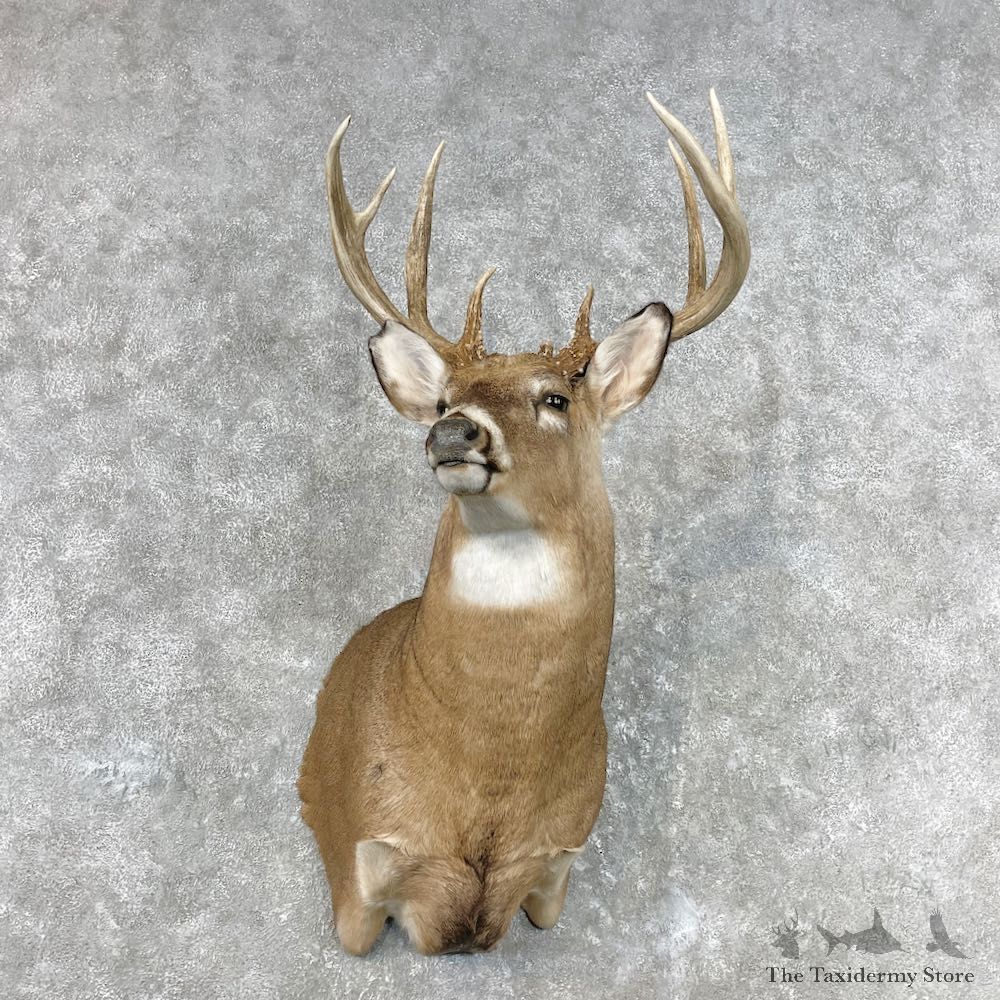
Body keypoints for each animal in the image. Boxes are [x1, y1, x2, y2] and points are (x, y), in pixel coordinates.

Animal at [298, 89, 750, 956]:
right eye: (444, 397)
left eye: (556, 397)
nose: (453, 433)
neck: (489, 795)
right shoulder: (359, 874)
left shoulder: (558, 867)